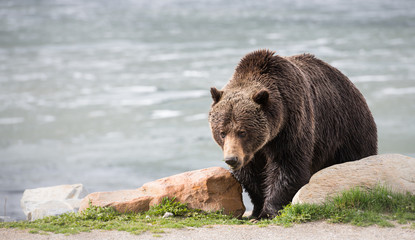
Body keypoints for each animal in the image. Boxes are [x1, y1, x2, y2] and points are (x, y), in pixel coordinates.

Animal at [210, 49, 378, 219]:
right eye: (222, 132)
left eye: (242, 132)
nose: (231, 159)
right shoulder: (252, 152)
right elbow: (250, 175)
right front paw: (256, 211)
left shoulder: (292, 125)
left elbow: (288, 166)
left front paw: (268, 212)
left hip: (348, 130)